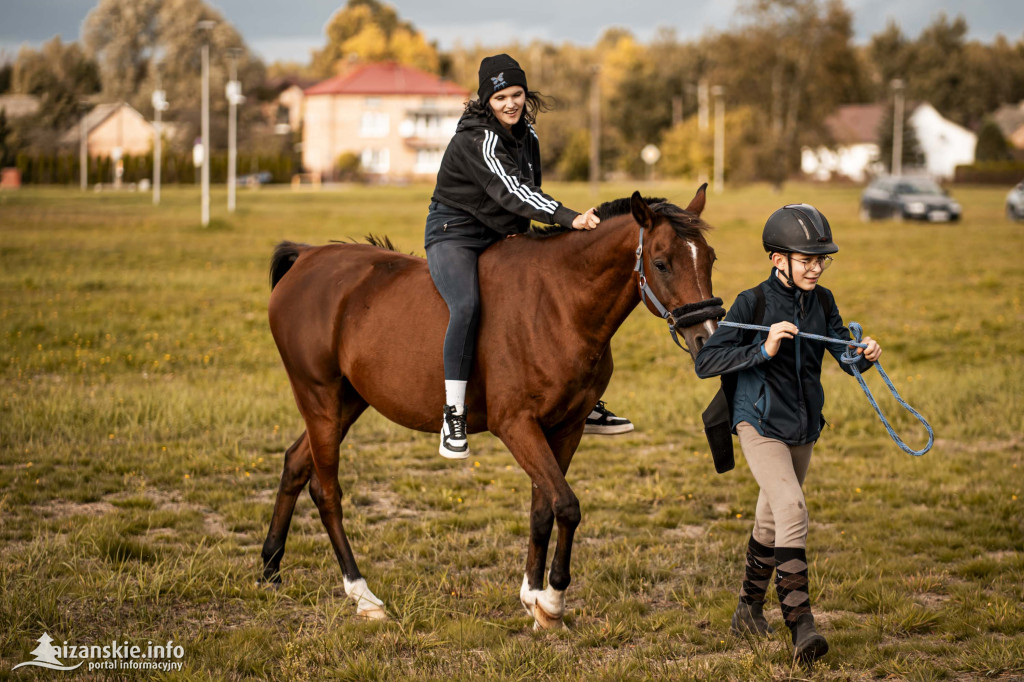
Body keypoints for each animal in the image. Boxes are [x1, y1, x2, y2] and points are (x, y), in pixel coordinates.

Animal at [262, 186, 720, 626]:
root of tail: (308, 256)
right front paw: (553, 600)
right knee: (326, 490)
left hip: (347, 401)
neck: (559, 303)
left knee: (295, 463)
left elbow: (543, 508)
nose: (706, 338)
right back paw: (362, 595)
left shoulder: (565, 428)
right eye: (661, 263)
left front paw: (533, 597)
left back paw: (269, 568)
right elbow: (566, 506)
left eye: (711, 259)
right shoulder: (516, 425)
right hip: (319, 398)